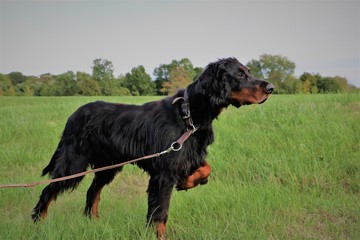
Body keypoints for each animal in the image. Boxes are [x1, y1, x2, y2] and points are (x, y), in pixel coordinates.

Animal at [32, 57, 272, 238]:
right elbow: (160, 213)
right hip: (74, 161)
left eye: (248, 71)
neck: (188, 114)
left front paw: (186, 182)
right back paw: (37, 224)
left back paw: (94, 223)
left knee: (93, 191)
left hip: (109, 165)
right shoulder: (163, 174)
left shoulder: (186, 156)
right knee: (48, 190)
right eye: (239, 75)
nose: (271, 87)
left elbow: (206, 169)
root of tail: (73, 115)